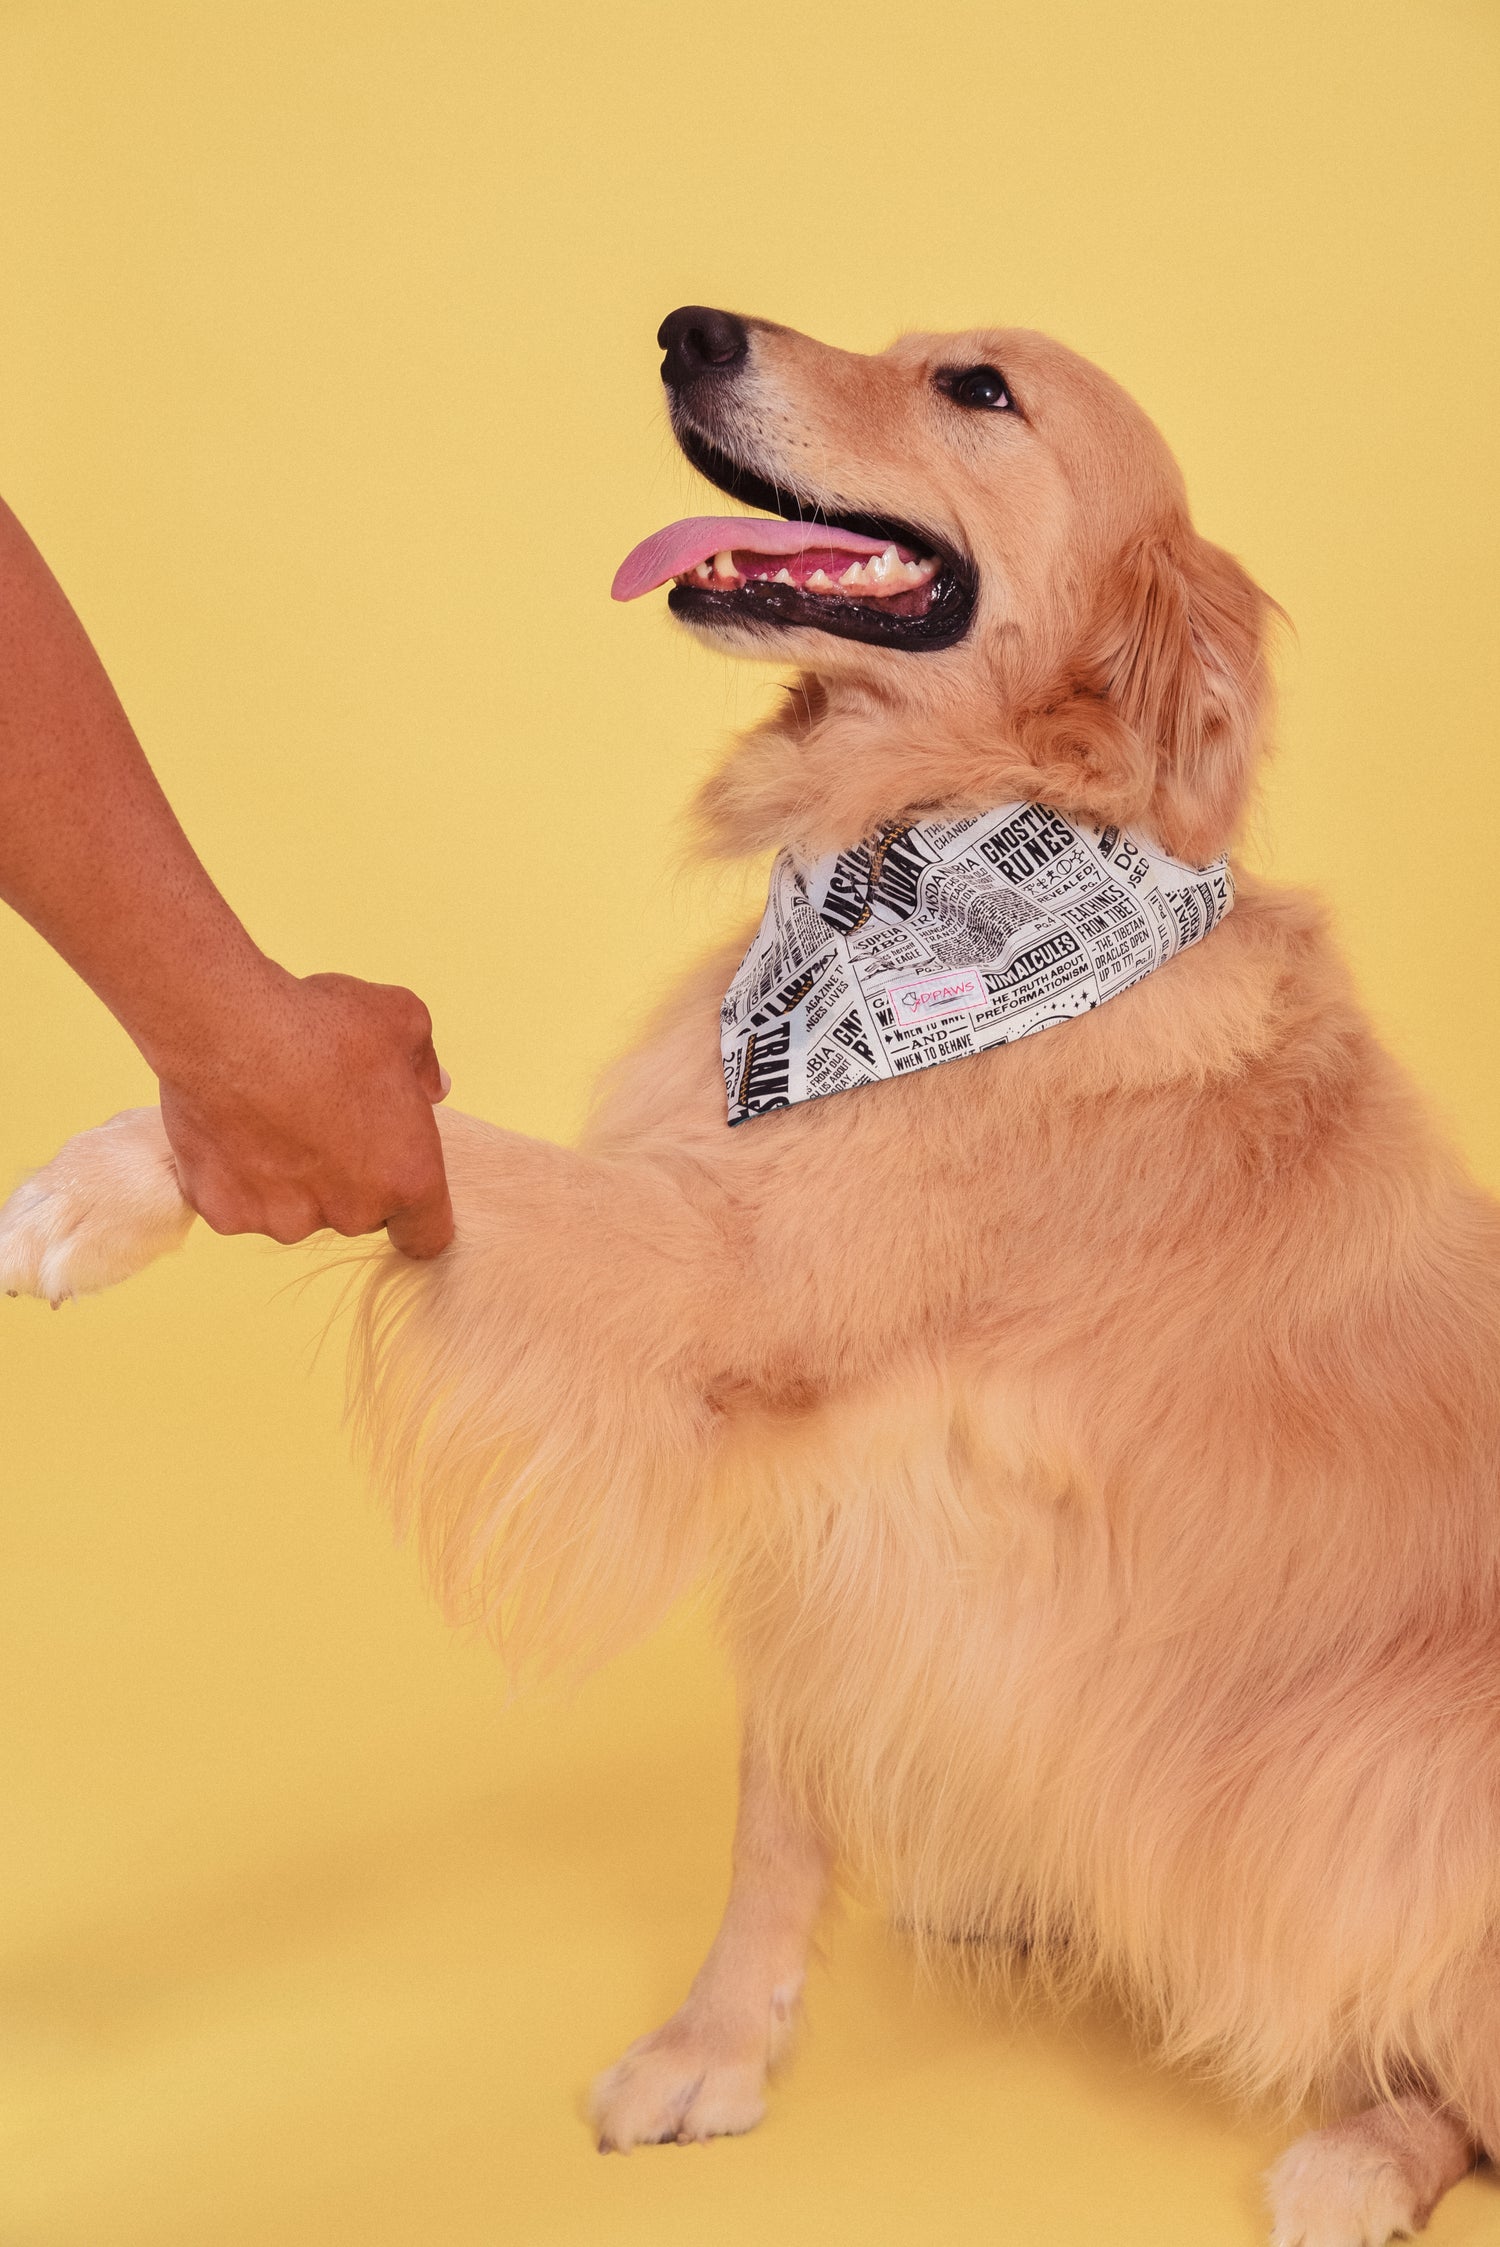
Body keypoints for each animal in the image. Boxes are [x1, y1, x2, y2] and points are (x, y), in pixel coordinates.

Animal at [2, 303, 1500, 2247]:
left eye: (979, 389)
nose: (688, 328)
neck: (932, 867)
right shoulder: (827, 1489)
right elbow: (777, 1819)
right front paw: (716, 2050)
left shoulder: (731, 1270)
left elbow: (453, 1151)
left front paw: (106, 1184)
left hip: (1385, 1789)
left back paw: (1357, 2154)